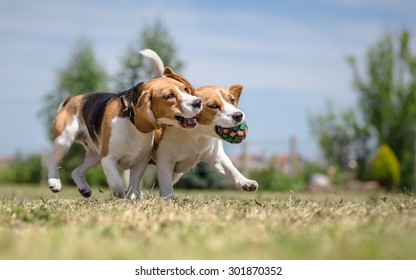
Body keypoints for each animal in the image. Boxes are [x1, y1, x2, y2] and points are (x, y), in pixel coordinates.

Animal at [47, 68, 202, 198]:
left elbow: (134, 184)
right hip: (64, 140)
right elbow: (117, 183)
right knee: (52, 160)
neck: (130, 119)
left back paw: (84, 189)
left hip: (95, 155)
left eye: (185, 89)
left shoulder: (141, 162)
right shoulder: (108, 158)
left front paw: (132, 198)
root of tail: (73, 98)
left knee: (76, 171)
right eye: (169, 96)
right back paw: (54, 183)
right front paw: (119, 194)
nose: (198, 102)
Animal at [141, 49, 256, 198]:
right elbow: (166, 185)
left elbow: (231, 170)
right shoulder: (165, 162)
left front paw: (245, 182)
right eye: (213, 106)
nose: (238, 115)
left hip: (177, 174)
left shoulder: (217, 158)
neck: (197, 134)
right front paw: (168, 199)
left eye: (231, 100)